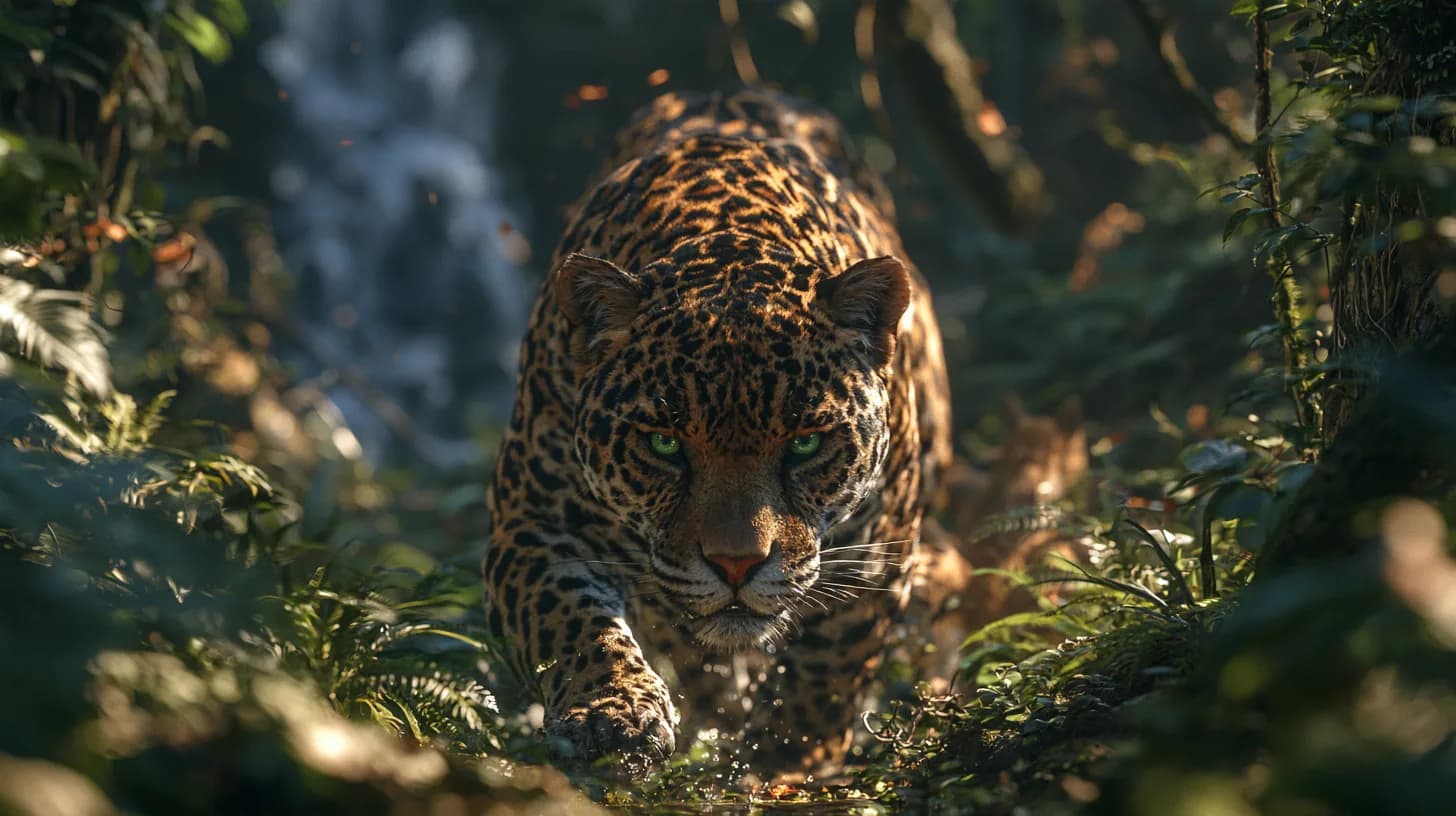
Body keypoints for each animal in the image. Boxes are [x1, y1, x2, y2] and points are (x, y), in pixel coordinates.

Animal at [481, 87, 953, 775]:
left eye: (805, 443)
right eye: (663, 443)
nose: (737, 566)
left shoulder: (879, 544)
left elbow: (834, 657)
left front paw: (789, 756)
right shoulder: (531, 525)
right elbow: (569, 618)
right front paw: (615, 711)